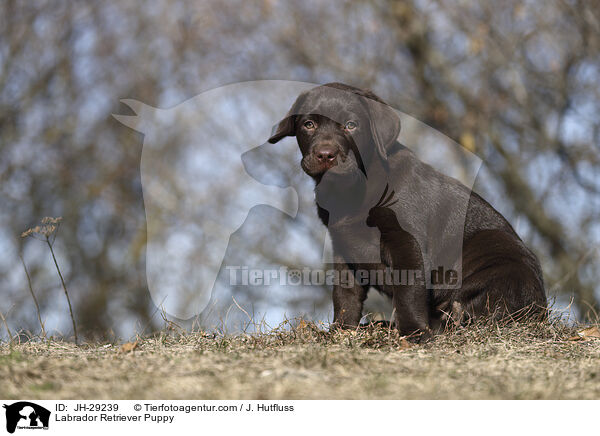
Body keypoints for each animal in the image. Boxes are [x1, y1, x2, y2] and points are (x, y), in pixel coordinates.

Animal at [270, 82, 548, 340]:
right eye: (308, 124)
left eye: (351, 125)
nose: (326, 155)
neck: (353, 190)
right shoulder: (344, 248)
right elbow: (345, 294)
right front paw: (341, 330)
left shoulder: (406, 241)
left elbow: (408, 290)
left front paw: (414, 333)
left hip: (500, 257)